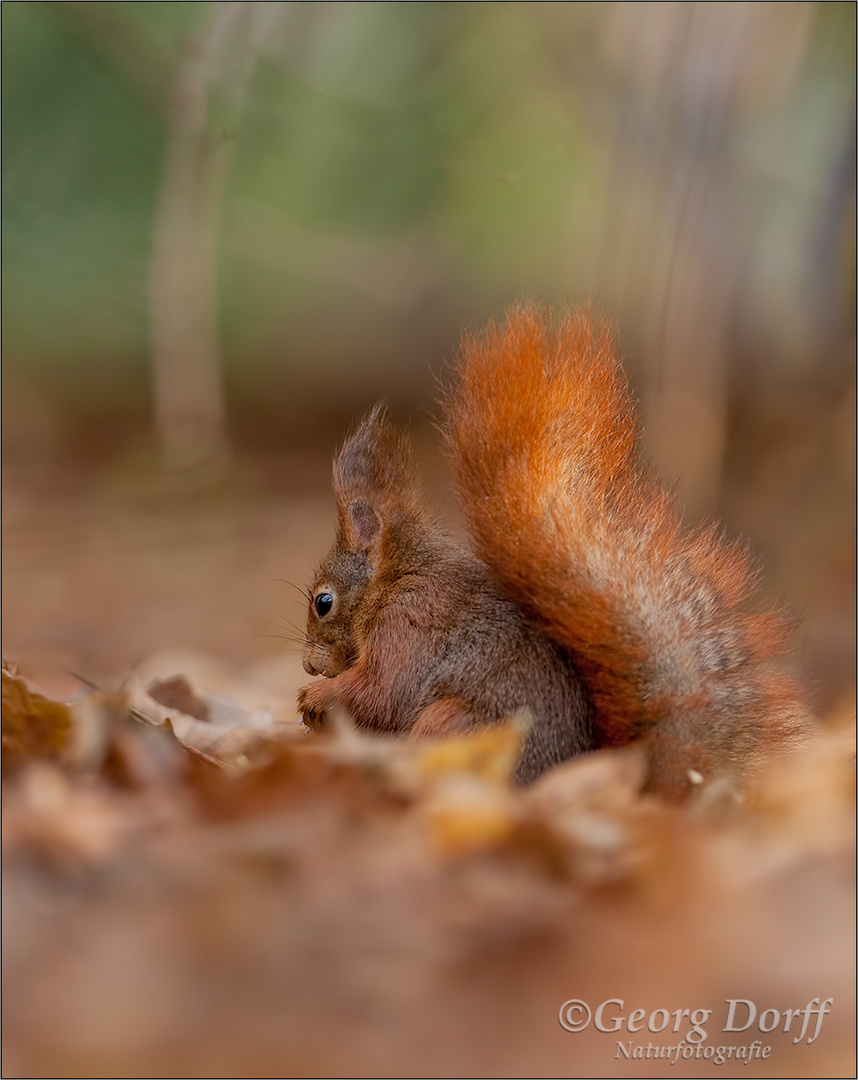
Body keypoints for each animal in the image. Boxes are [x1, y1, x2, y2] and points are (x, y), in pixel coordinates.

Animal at [296, 304, 808, 794]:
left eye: (323, 602)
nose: (307, 665)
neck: (396, 577)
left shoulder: (408, 626)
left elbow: (381, 691)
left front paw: (316, 698)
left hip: (455, 724)